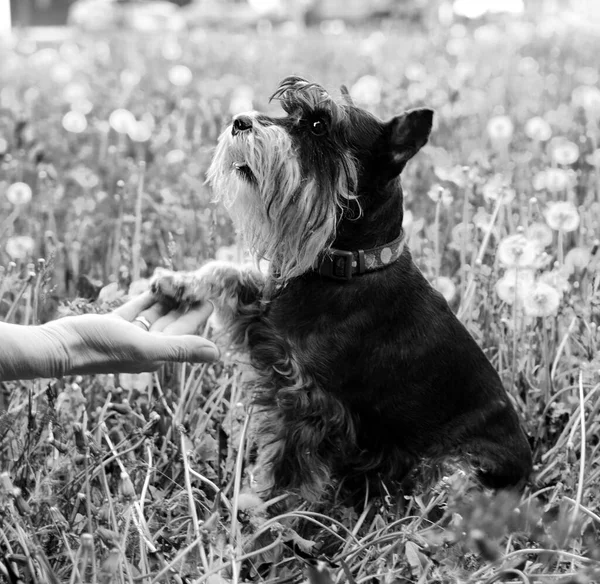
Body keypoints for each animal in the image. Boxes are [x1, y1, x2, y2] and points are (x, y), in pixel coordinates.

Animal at [152, 75, 532, 500]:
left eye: (319, 126)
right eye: (288, 112)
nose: (239, 122)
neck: (351, 266)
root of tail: (526, 469)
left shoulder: (309, 402)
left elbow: (287, 468)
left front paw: (261, 512)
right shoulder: (263, 320)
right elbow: (226, 271)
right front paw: (177, 282)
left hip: (457, 472)